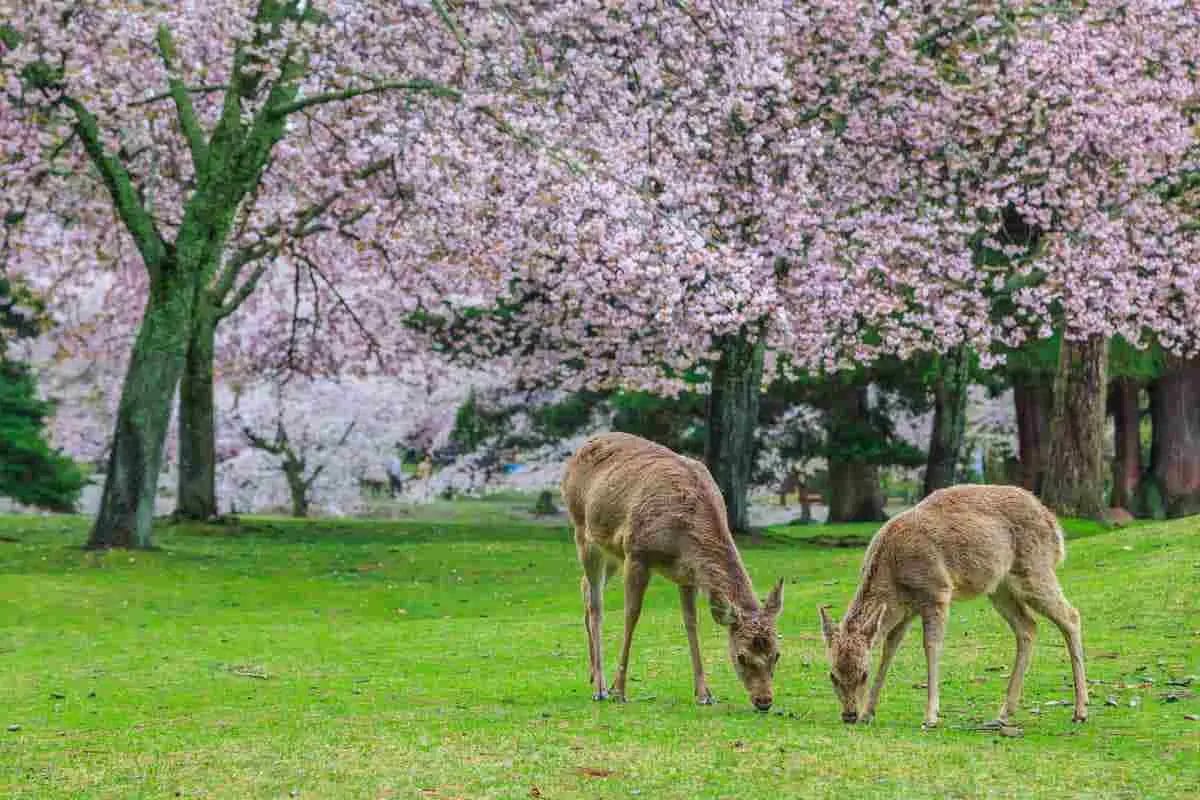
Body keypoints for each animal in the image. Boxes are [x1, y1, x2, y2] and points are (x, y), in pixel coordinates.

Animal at [561, 432, 784, 711]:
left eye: (777, 654)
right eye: (741, 656)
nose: (764, 701)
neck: (682, 541)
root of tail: (579, 450)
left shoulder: (687, 575)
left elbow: (691, 622)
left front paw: (704, 693)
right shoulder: (637, 553)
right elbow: (631, 615)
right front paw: (619, 690)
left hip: (611, 550)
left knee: (584, 586)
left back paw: (592, 675)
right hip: (583, 531)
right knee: (595, 604)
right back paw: (600, 687)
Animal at [818, 484, 1087, 728]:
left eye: (864, 673)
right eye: (832, 674)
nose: (849, 715)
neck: (893, 577)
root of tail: (1055, 526)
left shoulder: (937, 591)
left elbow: (931, 646)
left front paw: (930, 716)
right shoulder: (904, 611)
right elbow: (889, 650)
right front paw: (869, 713)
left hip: (1034, 569)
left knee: (1071, 616)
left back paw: (1080, 711)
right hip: (999, 588)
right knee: (1028, 626)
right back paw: (1003, 713)